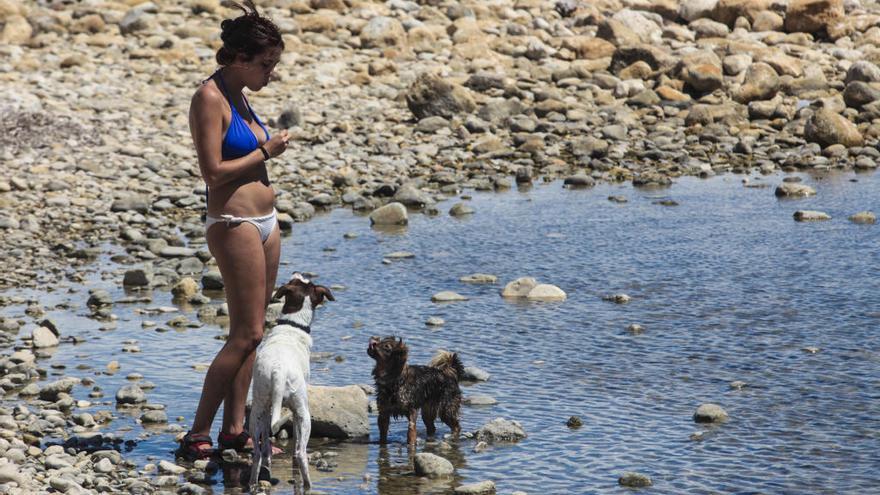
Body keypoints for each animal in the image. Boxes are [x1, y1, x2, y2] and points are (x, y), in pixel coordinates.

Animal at [249, 274, 336, 490]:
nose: (297, 272)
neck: (291, 325)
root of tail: (278, 370)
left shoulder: (269, 409)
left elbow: (266, 443)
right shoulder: (297, 412)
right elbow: (296, 437)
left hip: (257, 408)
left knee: (257, 452)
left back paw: (253, 482)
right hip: (304, 411)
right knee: (300, 452)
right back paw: (308, 485)